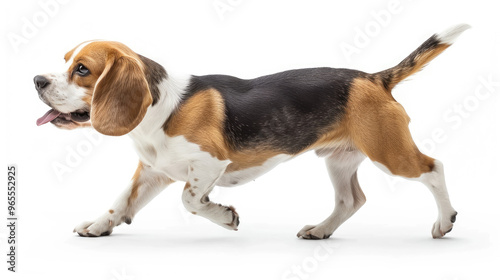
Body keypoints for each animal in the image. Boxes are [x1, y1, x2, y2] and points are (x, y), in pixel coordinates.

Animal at [34, 24, 468, 240]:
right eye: (65, 61)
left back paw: (445, 221)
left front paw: (225, 217)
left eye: (82, 70)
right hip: (340, 160)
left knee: (435, 168)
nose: (37, 80)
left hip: (389, 153)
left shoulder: (210, 164)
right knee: (351, 201)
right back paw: (321, 230)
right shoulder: (153, 171)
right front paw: (98, 226)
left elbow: (190, 200)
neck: (160, 108)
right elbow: (120, 201)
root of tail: (376, 78)